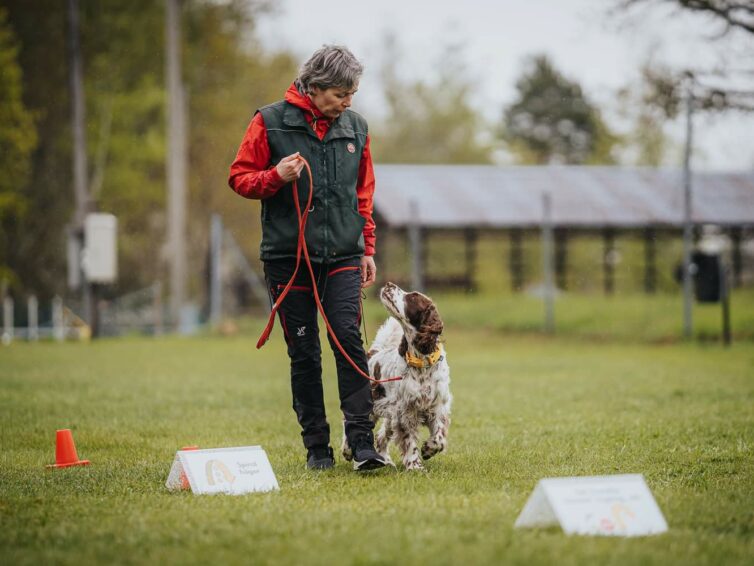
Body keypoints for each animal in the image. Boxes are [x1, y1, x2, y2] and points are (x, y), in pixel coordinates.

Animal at [346, 282, 446, 472]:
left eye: (413, 296)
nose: (389, 284)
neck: (421, 362)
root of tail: (373, 353)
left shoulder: (437, 407)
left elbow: (440, 438)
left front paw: (428, 449)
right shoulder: (405, 411)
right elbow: (409, 441)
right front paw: (415, 466)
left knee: (380, 437)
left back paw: (385, 460)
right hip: (374, 405)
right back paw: (347, 451)